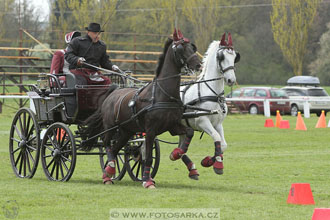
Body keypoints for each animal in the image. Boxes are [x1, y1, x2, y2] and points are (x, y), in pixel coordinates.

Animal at [84, 28, 200, 188]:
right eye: (181, 48)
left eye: (193, 47)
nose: (198, 65)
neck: (163, 94)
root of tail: (112, 92)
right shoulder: (150, 131)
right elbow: (148, 158)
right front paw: (147, 181)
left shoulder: (172, 126)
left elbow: (189, 132)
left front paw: (176, 154)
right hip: (110, 127)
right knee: (106, 143)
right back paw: (109, 170)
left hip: (126, 131)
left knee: (115, 149)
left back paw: (108, 173)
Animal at [170, 33, 240, 180]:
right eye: (222, 57)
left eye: (234, 57)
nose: (231, 80)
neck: (213, 93)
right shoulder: (202, 122)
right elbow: (216, 137)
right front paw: (218, 165)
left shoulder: (218, 124)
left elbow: (223, 145)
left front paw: (208, 161)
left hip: (182, 126)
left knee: (182, 145)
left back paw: (186, 162)